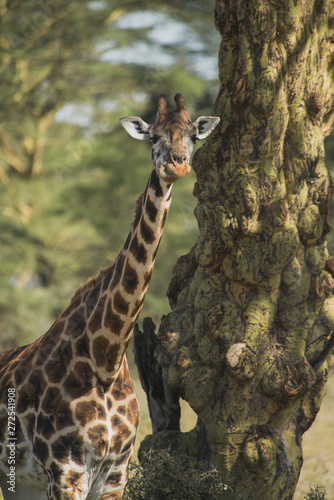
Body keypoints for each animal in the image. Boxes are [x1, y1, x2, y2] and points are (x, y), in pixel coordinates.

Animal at [0, 94, 219, 500]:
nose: (177, 165)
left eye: (193, 136)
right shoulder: (64, 470)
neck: (106, 358)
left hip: (21, 483)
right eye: (153, 136)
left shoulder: (115, 472)